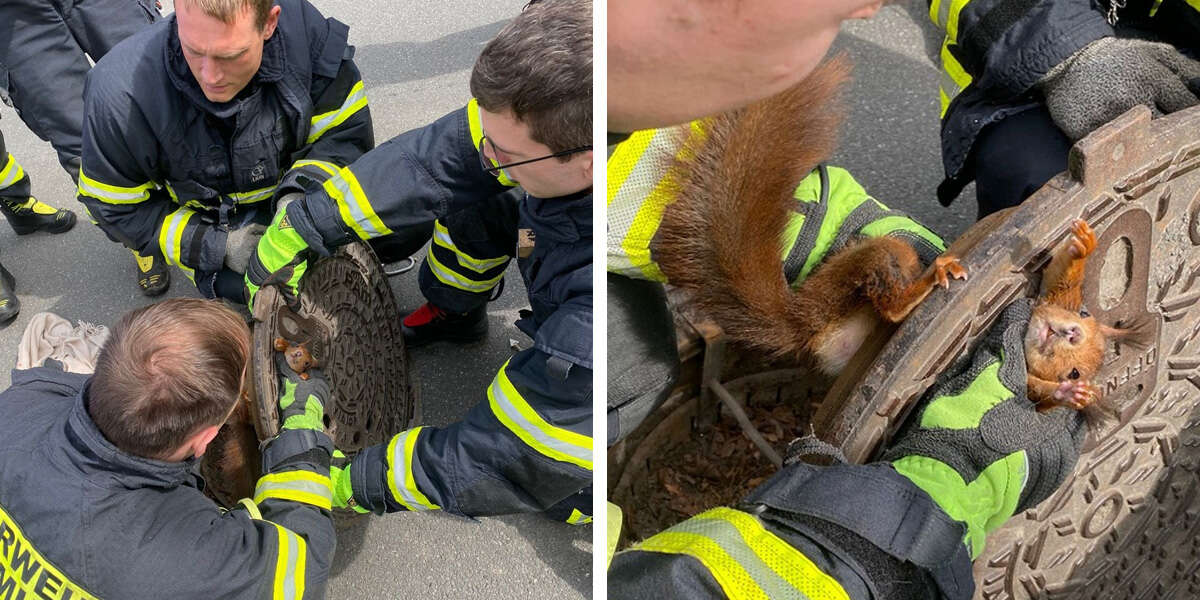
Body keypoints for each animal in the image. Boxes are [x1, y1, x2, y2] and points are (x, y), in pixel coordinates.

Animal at [1027, 218, 1147, 420]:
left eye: (1074, 374)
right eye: (1083, 313)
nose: (1074, 334)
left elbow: (1035, 393)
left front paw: (1069, 394)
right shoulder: (1057, 297)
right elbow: (1059, 278)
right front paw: (1084, 245)